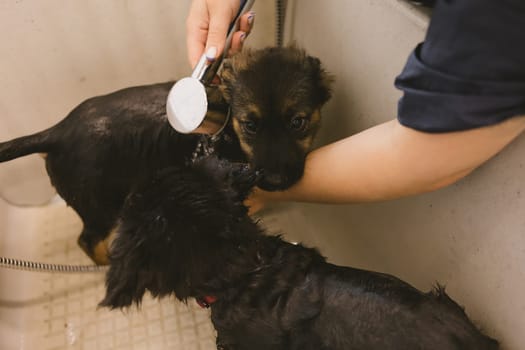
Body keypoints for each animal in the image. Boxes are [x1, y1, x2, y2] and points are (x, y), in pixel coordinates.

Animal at [0, 47, 332, 266]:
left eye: (297, 122)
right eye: (250, 125)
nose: (275, 181)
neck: (226, 132)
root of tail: (57, 132)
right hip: (98, 203)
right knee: (87, 240)